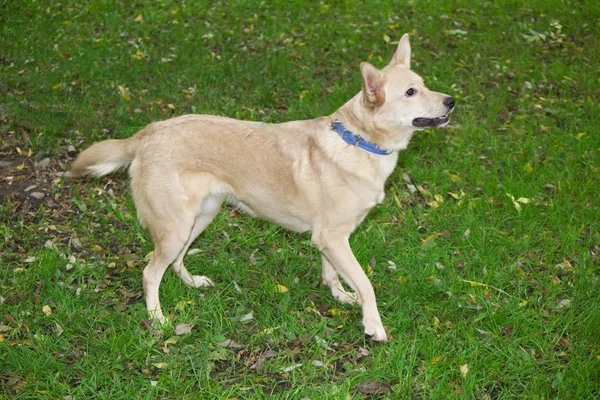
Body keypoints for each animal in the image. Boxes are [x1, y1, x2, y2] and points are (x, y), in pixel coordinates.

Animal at [70, 32, 452, 342]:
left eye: (424, 83)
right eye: (410, 92)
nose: (451, 101)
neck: (359, 140)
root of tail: (147, 133)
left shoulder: (330, 239)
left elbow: (333, 273)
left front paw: (342, 296)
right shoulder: (333, 237)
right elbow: (367, 283)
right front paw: (373, 325)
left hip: (201, 216)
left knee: (173, 261)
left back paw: (192, 284)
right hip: (176, 225)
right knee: (151, 271)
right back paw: (159, 319)